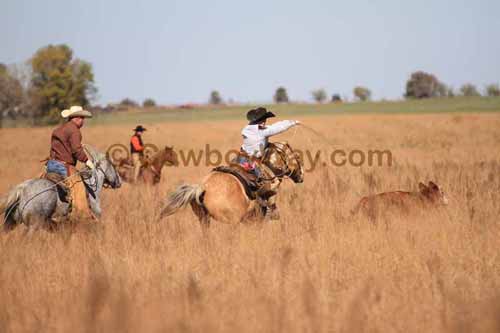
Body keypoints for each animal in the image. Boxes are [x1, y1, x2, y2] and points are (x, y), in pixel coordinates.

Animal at [160, 140, 302, 228]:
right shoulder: (257, 217)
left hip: (204, 219)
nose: (301, 176)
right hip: (231, 222)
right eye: (297, 157)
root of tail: (202, 188)